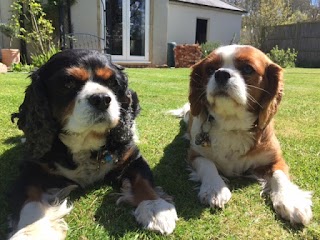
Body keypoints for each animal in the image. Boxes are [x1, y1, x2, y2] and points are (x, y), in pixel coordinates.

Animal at [8, 49, 178, 239]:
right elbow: (29, 199)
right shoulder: (33, 167)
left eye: (112, 82)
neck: (85, 139)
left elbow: (143, 180)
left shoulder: (132, 157)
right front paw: (32, 231)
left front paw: (156, 208)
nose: (102, 99)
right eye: (68, 83)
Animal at [170, 44, 312, 225]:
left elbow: (280, 175)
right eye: (210, 69)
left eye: (247, 69)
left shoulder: (275, 158)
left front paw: (291, 200)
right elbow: (208, 164)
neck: (233, 125)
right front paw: (215, 188)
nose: (221, 73)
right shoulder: (194, 154)